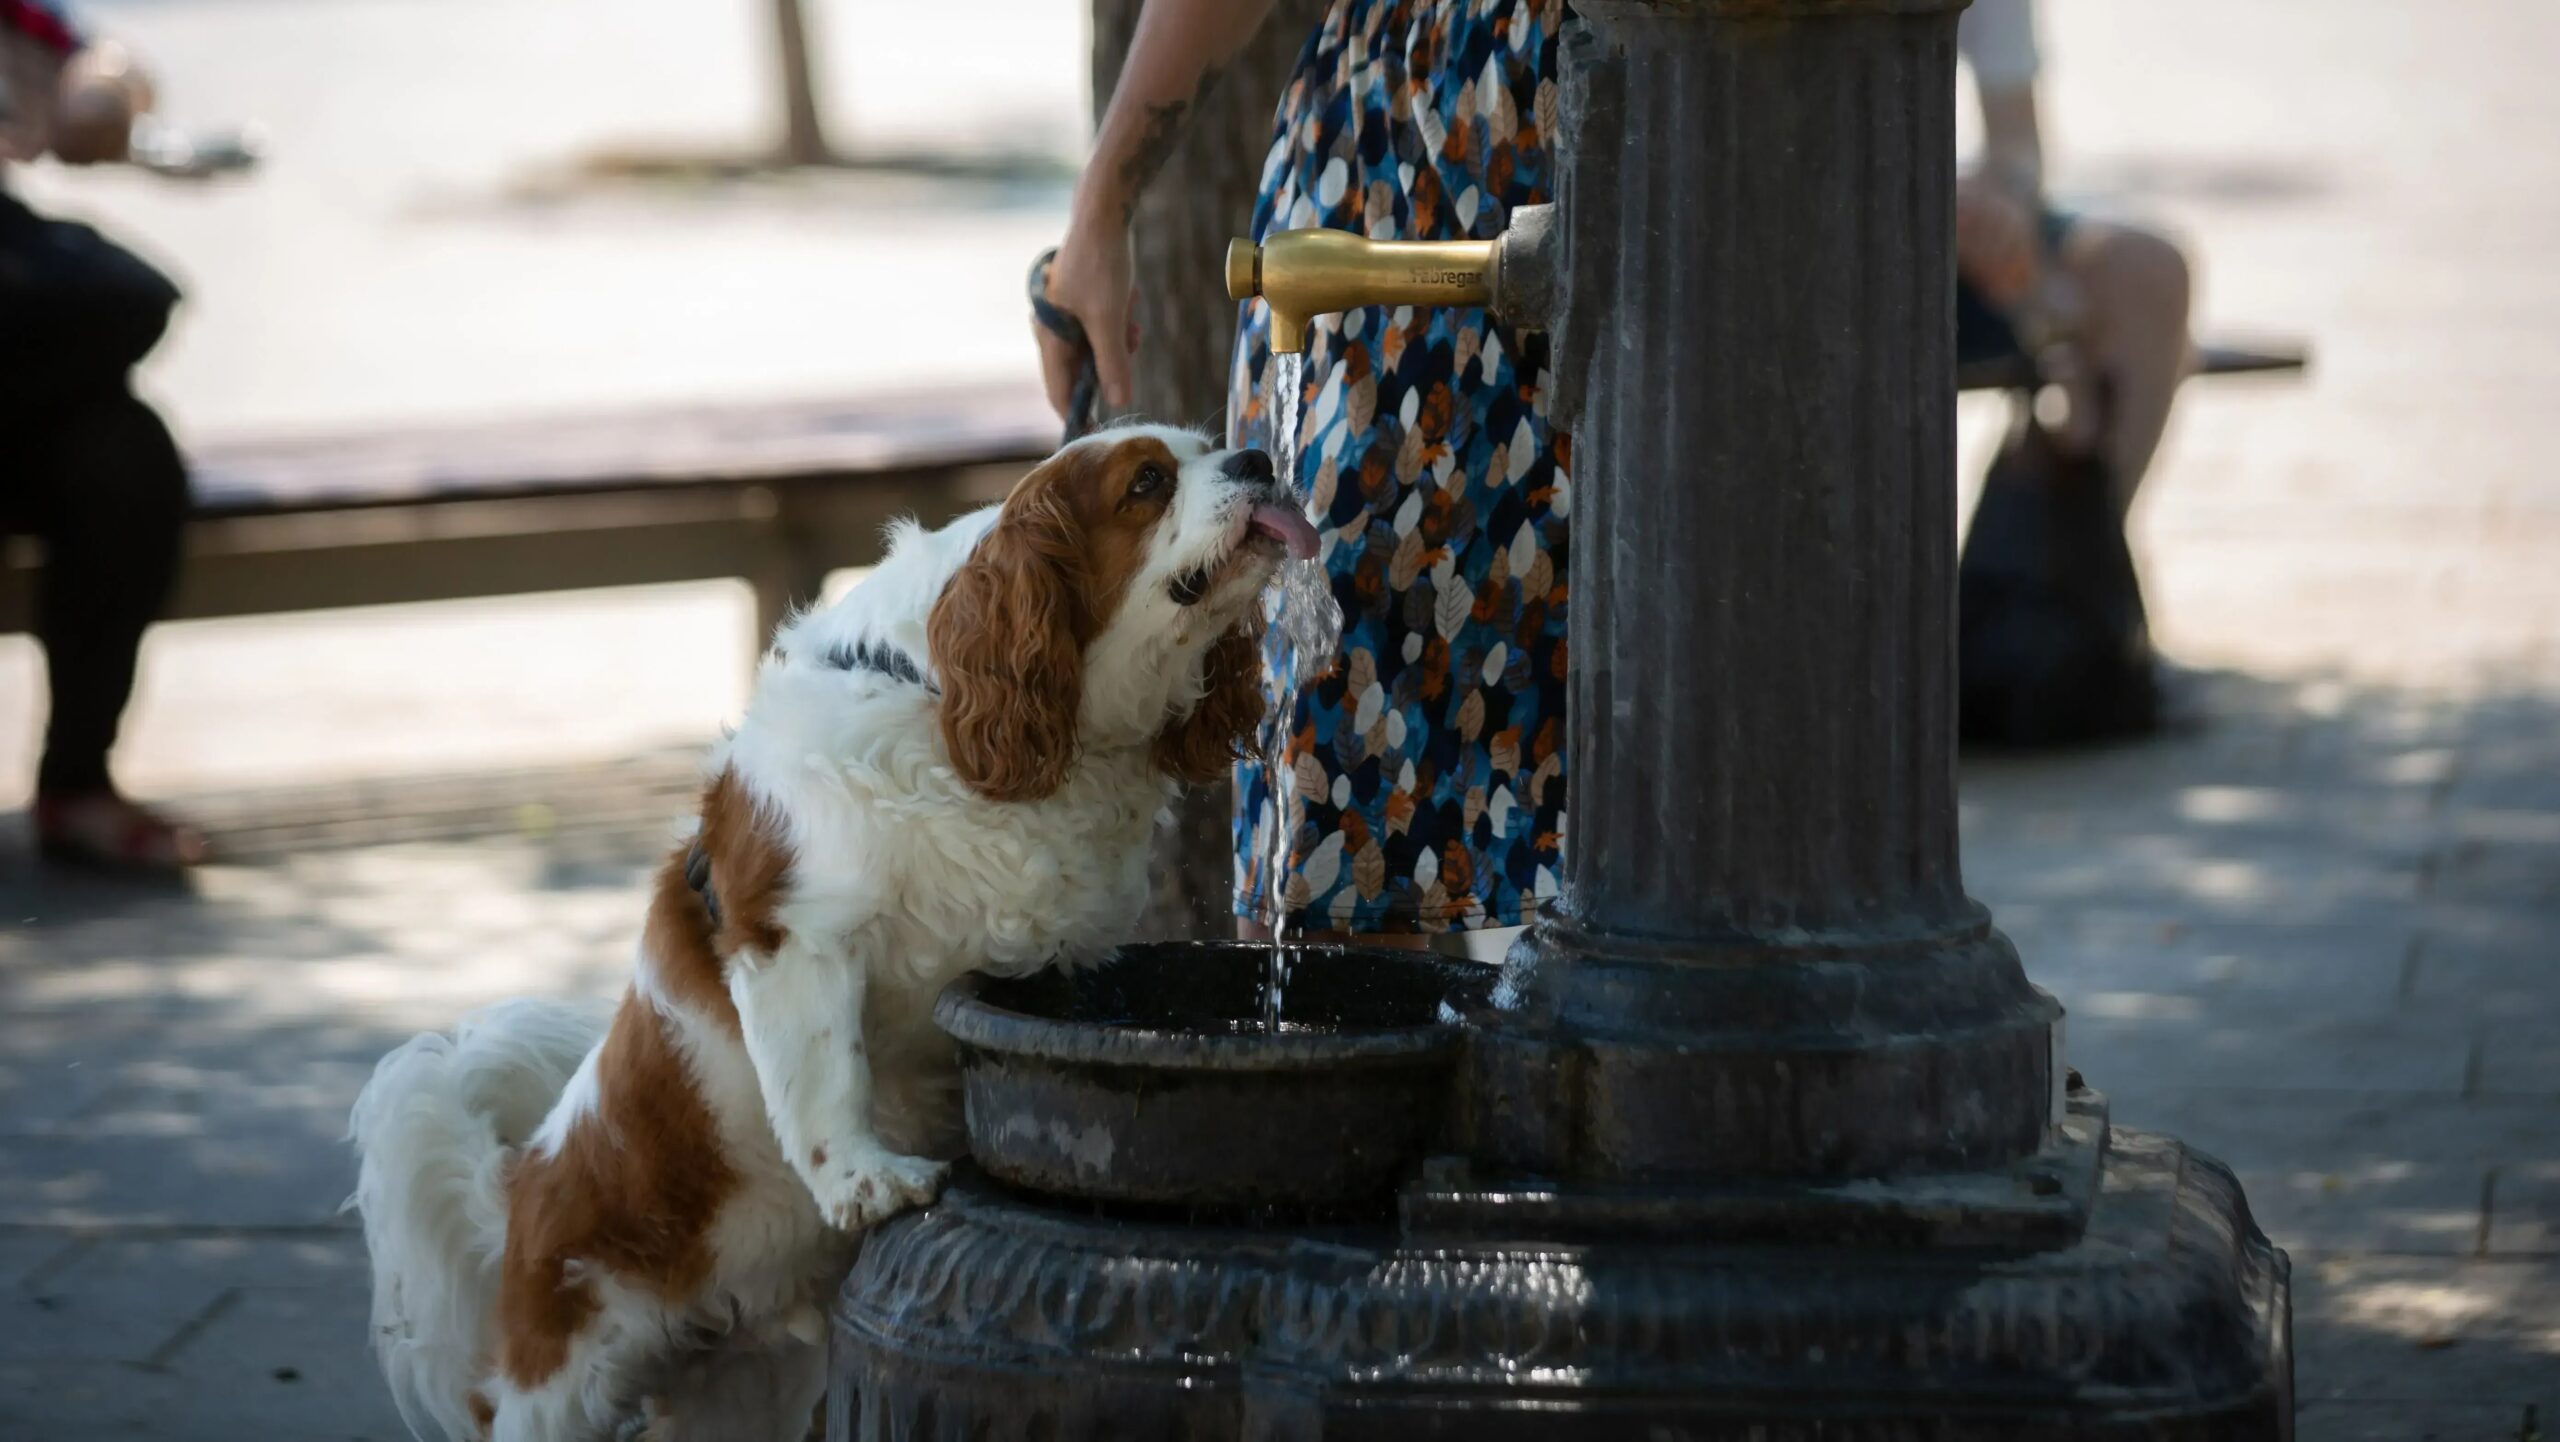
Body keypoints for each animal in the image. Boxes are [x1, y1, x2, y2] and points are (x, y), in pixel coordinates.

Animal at [350, 427, 1320, 1442]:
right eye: (1147, 484)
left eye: (1210, 450)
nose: (1257, 456)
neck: (944, 703)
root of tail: (516, 1195)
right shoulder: (794, 937)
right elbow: (826, 1075)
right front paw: (863, 1181)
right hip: (564, 1393)